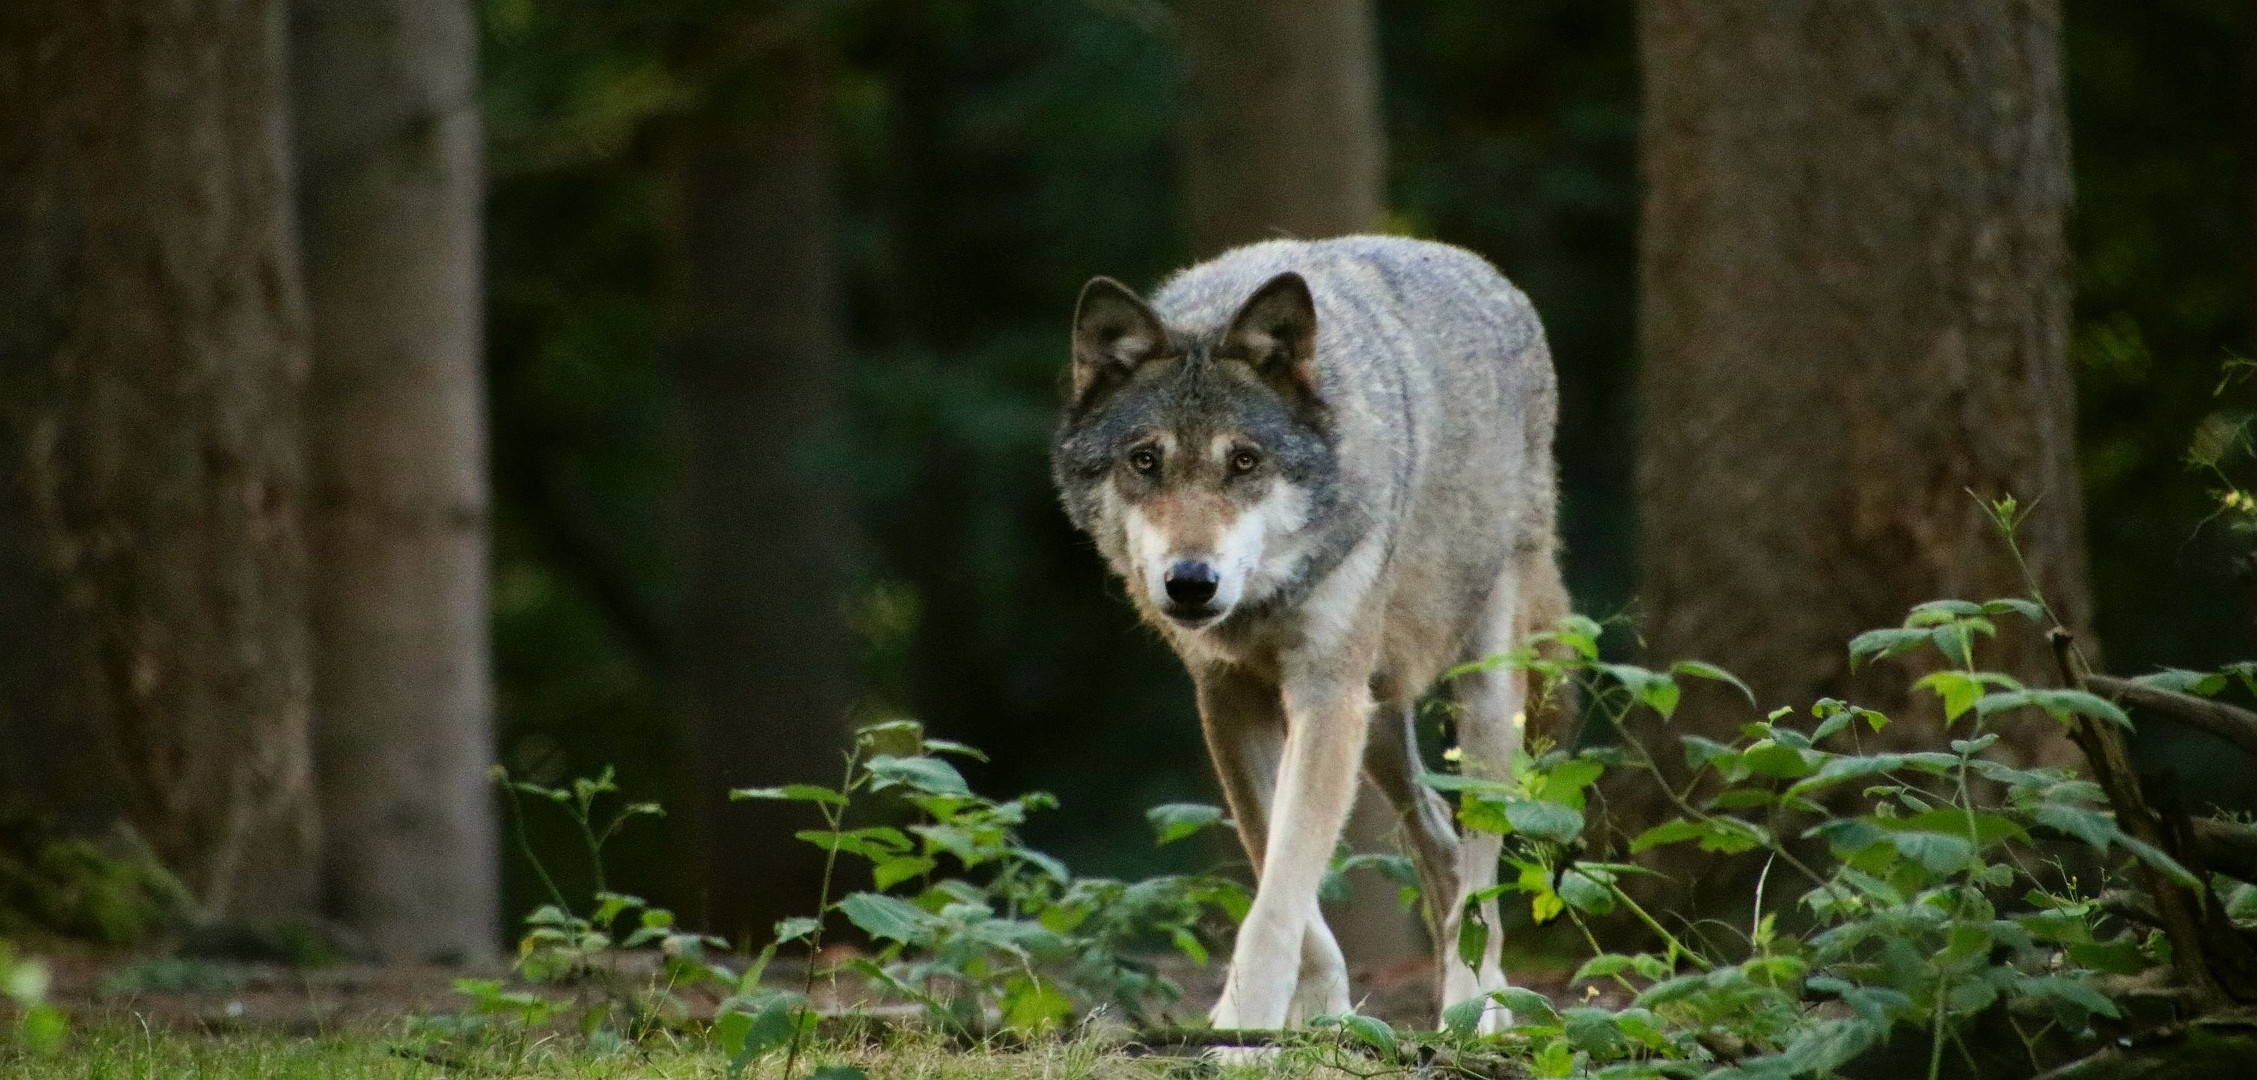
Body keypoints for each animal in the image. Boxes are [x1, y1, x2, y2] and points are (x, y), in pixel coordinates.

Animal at [1047, 234, 1561, 1032]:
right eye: (1145, 460)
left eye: (1244, 461)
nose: (1191, 582)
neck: (1268, 597)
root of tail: (1490, 276)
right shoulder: (1230, 700)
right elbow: (1278, 868)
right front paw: (1315, 1012)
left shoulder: (1325, 698)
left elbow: (1280, 894)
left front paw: (1246, 1026)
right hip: (1377, 722)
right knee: (1437, 837)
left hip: (1480, 706)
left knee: (1478, 863)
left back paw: (1473, 1006)